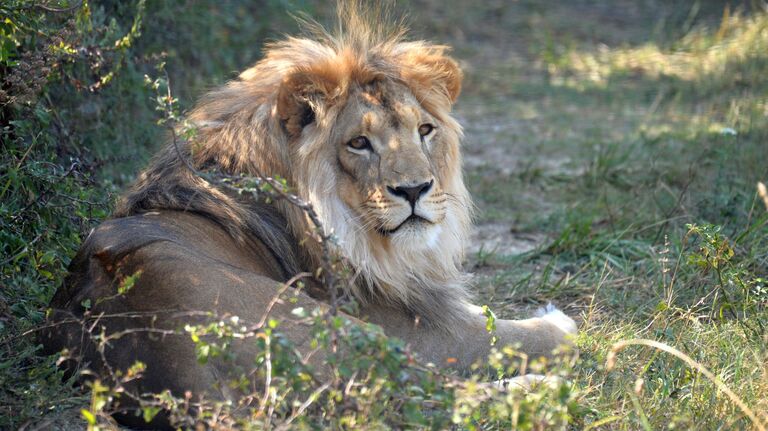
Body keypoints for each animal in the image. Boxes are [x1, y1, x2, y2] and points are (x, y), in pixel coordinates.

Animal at [37, 3, 576, 428]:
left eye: (425, 130)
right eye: (359, 142)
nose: (415, 189)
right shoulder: (423, 330)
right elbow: (499, 333)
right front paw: (558, 324)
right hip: (345, 330)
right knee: (429, 395)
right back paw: (541, 387)